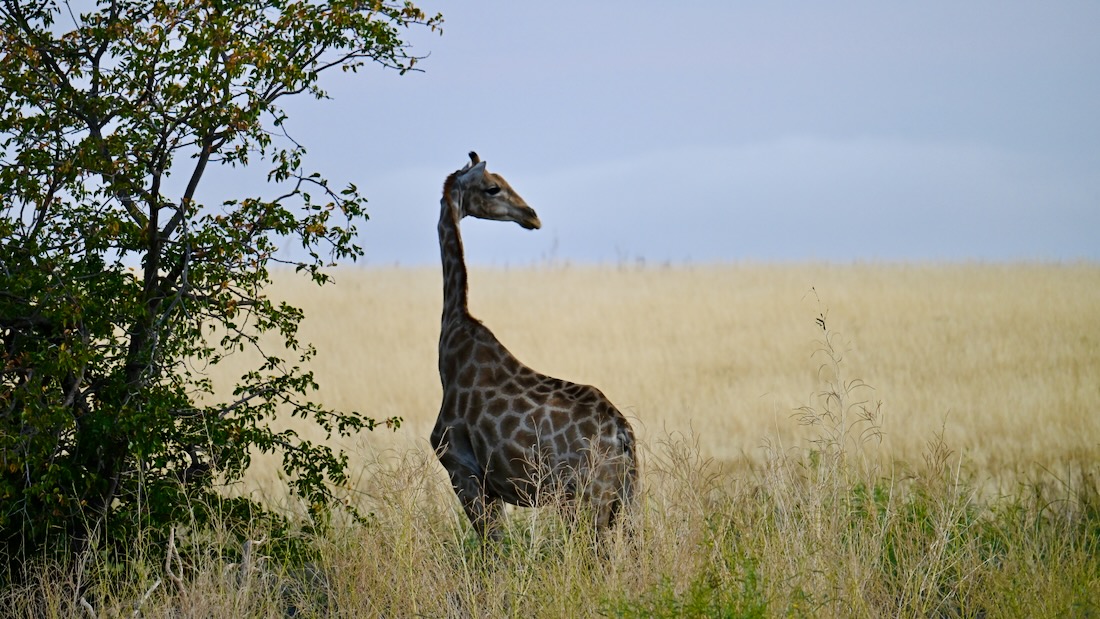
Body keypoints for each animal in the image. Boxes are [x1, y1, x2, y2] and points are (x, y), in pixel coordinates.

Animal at [430, 152, 637, 542]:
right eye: (493, 187)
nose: (531, 215)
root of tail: (623, 434)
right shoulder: (489, 485)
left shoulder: (462, 468)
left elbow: (492, 549)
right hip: (624, 500)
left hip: (585, 501)